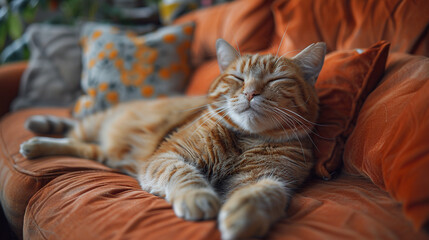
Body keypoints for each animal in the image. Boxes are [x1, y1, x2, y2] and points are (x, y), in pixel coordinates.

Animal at [20, 38, 324, 239]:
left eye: (276, 80)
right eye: (238, 78)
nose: (250, 93)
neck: (245, 140)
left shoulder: (270, 177)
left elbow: (267, 191)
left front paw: (244, 214)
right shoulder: (167, 156)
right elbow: (183, 174)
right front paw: (198, 197)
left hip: (104, 154)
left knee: (81, 147)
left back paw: (37, 144)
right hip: (95, 126)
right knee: (73, 132)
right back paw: (35, 137)